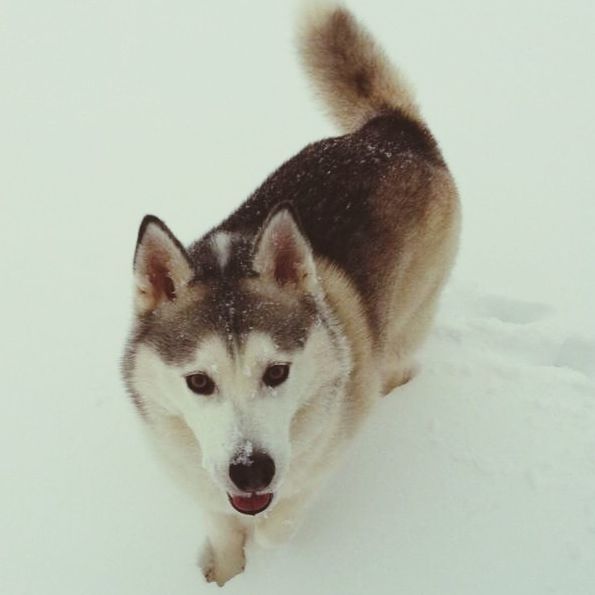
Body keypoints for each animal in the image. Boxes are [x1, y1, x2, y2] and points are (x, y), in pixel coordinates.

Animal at [122, 0, 460, 588]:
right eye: (198, 381)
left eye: (277, 372)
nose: (251, 469)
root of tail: (393, 131)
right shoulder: (208, 486)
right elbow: (223, 530)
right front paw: (224, 573)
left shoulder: (308, 473)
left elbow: (280, 524)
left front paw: (271, 565)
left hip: (410, 314)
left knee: (397, 359)